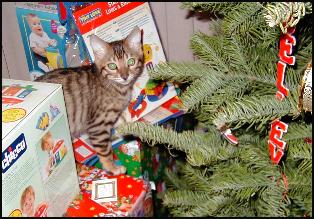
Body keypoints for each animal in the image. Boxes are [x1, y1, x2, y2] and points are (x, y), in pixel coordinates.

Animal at [36, 26, 145, 175]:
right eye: (112, 66)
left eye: (131, 62)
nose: (125, 76)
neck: (116, 87)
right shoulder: (98, 125)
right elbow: (105, 150)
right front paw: (112, 167)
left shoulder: (114, 115)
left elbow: (122, 122)